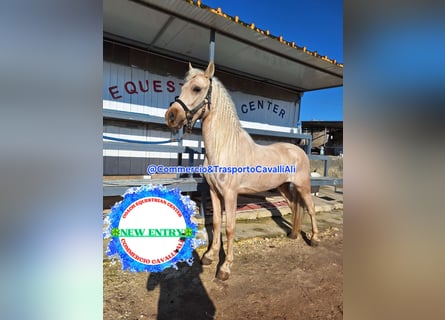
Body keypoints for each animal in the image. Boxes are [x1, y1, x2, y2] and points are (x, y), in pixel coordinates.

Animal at [165, 62, 318, 280]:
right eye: (182, 87)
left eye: (197, 89)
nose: (171, 116)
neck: (223, 147)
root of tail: (298, 150)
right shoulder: (214, 192)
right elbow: (216, 223)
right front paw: (209, 256)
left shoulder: (230, 194)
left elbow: (229, 228)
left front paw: (225, 267)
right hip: (283, 187)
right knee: (295, 206)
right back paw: (293, 234)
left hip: (303, 185)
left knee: (311, 208)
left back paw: (314, 239)